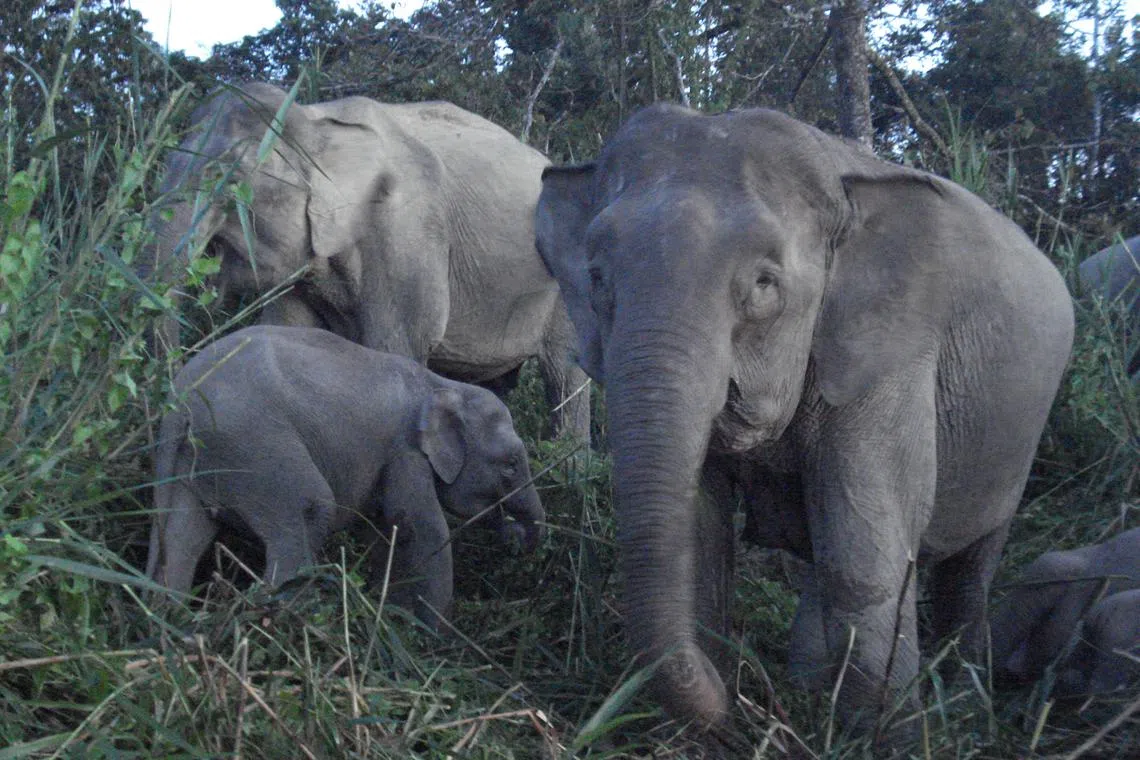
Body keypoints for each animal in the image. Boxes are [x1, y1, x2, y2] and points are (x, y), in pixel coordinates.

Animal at [144, 82, 588, 440]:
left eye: (231, 179)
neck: (315, 122)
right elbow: (291, 335)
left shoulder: (407, 230)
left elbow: (394, 345)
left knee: (565, 374)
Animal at [145, 325, 545, 629]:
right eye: (511, 464)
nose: (514, 537)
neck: (442, 385)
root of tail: (180, 406)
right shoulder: (405, 451)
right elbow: (419, 526)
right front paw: (431, 638)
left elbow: (384, 531)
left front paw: (394, 618)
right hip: (253, 443)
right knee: (307, 512)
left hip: (194, 462)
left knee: (181, 536)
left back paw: (171, 625)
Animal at [535, 103, 1074, 737]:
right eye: (596, 276)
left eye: (765, 283)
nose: (741, 697)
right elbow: (702, 533)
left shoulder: (892, 351)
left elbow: (861, 545)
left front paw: (885, 736)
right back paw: (813, 685)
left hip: (1019, 439)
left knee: (971, 564)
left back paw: (964, 697)